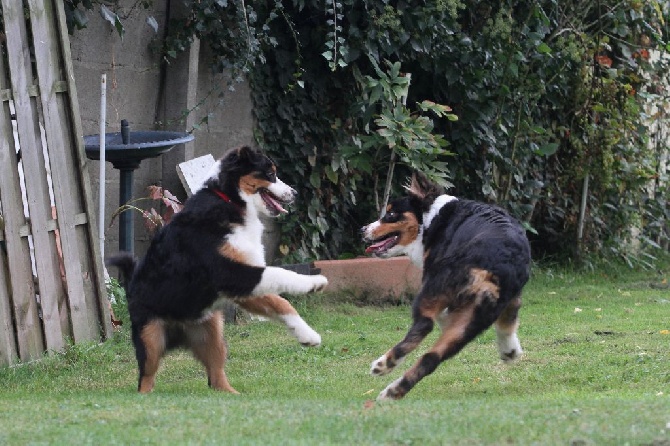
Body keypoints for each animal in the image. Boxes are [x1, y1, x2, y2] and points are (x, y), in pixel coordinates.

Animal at [109, 146, 330, 394]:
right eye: (271, 173)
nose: (295, 193)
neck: (231, 201)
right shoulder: (230, 273)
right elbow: (280, 274)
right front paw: (314, 283)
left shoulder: (242, 287)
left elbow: (281, 302)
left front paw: (307, 335)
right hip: (151, 338)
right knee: (146, 379)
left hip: (213, 334)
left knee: (215, 378)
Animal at [362, 172, 532, 398]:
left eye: (390, 214)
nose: (362, 229)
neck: (432, 217)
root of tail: (493, 265)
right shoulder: (512, 297)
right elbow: (508, 322)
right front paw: (510, 351)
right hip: (469, 322)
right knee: (431, 358)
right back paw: (394, 391)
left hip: (432, 288)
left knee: (424, 325)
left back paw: (384, 364)